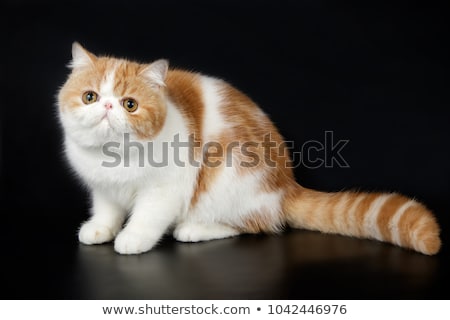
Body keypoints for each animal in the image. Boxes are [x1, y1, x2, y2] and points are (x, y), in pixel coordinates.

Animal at [58, 42, 442, 256]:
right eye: (90, 96)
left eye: (130, 104)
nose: (108, 107)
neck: (114, 160)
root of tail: (287, 184)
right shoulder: (101, 188)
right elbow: (106, 210)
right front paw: (101, 228)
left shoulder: (166, 189)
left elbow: (148, 216)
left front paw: (132, 237)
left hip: (229, 177)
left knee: (257, 224)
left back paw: (195, 229)